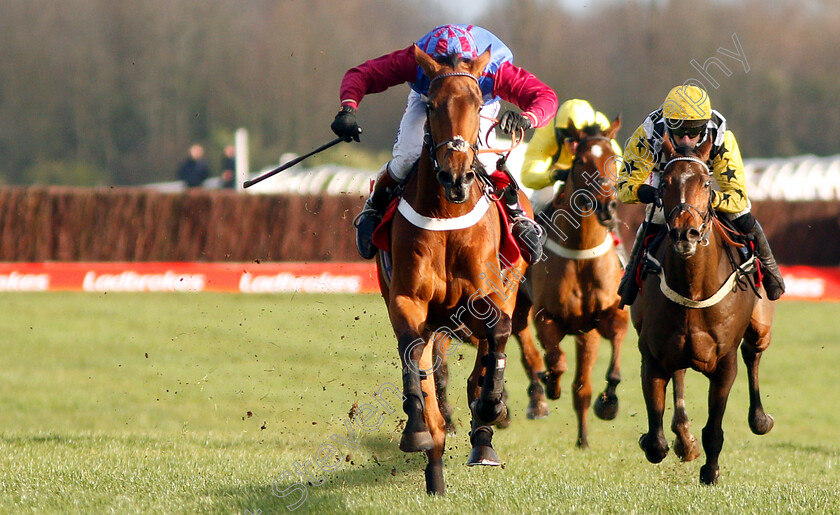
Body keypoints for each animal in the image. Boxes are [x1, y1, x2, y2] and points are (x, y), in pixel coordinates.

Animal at [378, 47, 528, 496]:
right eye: (430, 105)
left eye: (478, 105)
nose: (456, 175)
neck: (446, 212)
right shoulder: (408, 301)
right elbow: (414, 357)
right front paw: (417, 430)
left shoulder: (484, 299)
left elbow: (497, 337)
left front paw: (493, 405)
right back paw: (436, 465)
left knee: (488, 352)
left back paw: (485, 433)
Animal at [524, 121, 632, 448]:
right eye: (581, 161)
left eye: (615, 160)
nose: (607, 206)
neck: (581, 253)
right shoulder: (545, 316)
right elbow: (555, 361)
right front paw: (550, 383)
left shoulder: (604, 319)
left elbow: (612, 366)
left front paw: (608, 403)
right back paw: (538, 397)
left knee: (582, 387)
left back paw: (583, 438)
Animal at [632, 133, 776, 484]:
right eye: (664, 183)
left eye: (706, 182)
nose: (686, 233)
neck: (693, 288)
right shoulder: (653, 356)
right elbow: (655, 441)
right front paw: (670, 442)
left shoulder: (724, 364)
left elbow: (714, 428)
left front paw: (710, 471)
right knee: (681, 373)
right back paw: (683, 438)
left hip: (760, 326)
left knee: (753, 354)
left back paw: (760, 419)